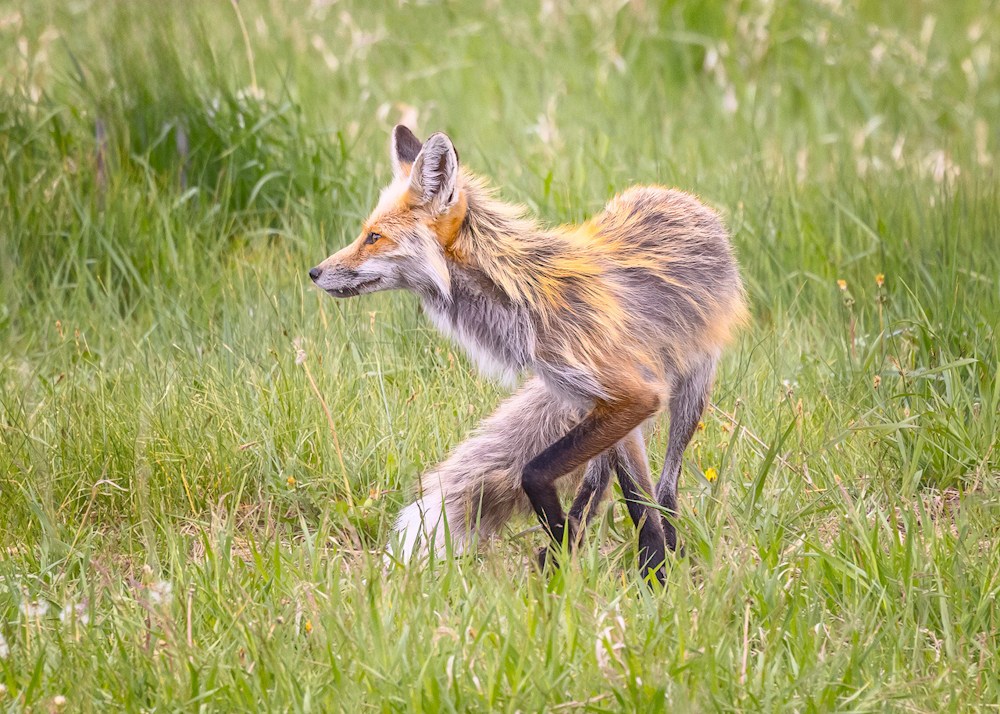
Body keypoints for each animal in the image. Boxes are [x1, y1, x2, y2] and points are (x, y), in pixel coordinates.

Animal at [310, 125, 748, 581]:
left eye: (373, 237)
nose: (314, 272)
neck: (523, 296)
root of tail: (683, 198)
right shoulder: (616, 399)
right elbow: (627, 495)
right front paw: (572, 558)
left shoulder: (635, 395)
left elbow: (542, 474)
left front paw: (654, 579)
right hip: (604, 413)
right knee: (601, 484)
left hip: (688, 393)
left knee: (666, 488)